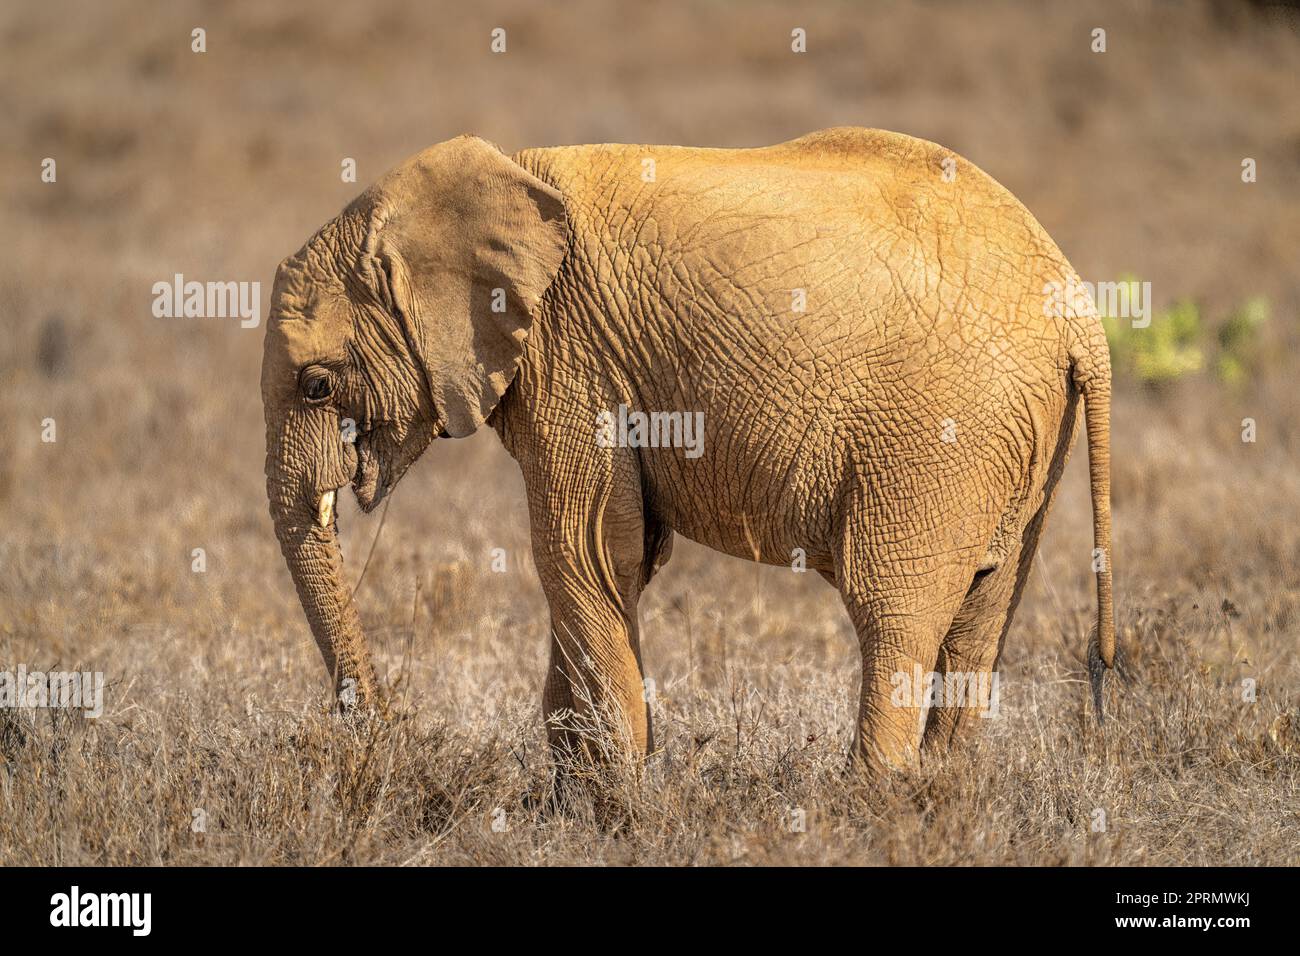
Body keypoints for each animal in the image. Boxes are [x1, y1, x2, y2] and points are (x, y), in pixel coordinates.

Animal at [261, 127, 1114, 772]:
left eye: (315, 386)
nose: (387, 732)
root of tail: (1080, 312)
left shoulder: (574, 357)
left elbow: (581, 554)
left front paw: (616, 809)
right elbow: (615, 563)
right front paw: (578, 800)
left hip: (939, 440)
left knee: (893, 614)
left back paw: (870, 806)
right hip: (1019, 451)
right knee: (980, 619)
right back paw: (942, 800)